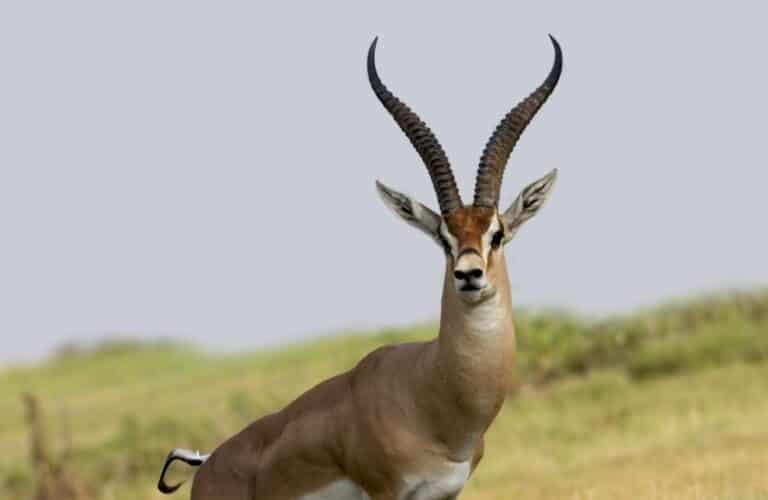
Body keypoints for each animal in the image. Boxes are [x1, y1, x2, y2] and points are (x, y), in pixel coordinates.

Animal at [158, 35, 562, 500]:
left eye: (497, 233)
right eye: (443, 238)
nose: (468, 274)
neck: (431, 394)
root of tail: (206, 463)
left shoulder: (446, 493)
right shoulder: (387, 492)